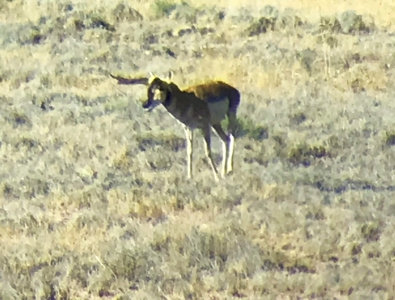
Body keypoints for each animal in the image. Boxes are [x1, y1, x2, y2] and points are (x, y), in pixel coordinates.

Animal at [111, 72, 241, 180]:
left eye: (160, 88)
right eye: (148, 88)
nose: (145, 104)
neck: (187, 101)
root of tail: (232, 89)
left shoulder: (204, 126)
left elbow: (207, 151)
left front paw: (216, 177)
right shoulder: (188, 128)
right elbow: (189, 150)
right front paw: (189, 176)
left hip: (230, 114)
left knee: (232, 136)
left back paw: (229, 170)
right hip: (216, 124)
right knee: (225, 139)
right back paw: (225, 172)